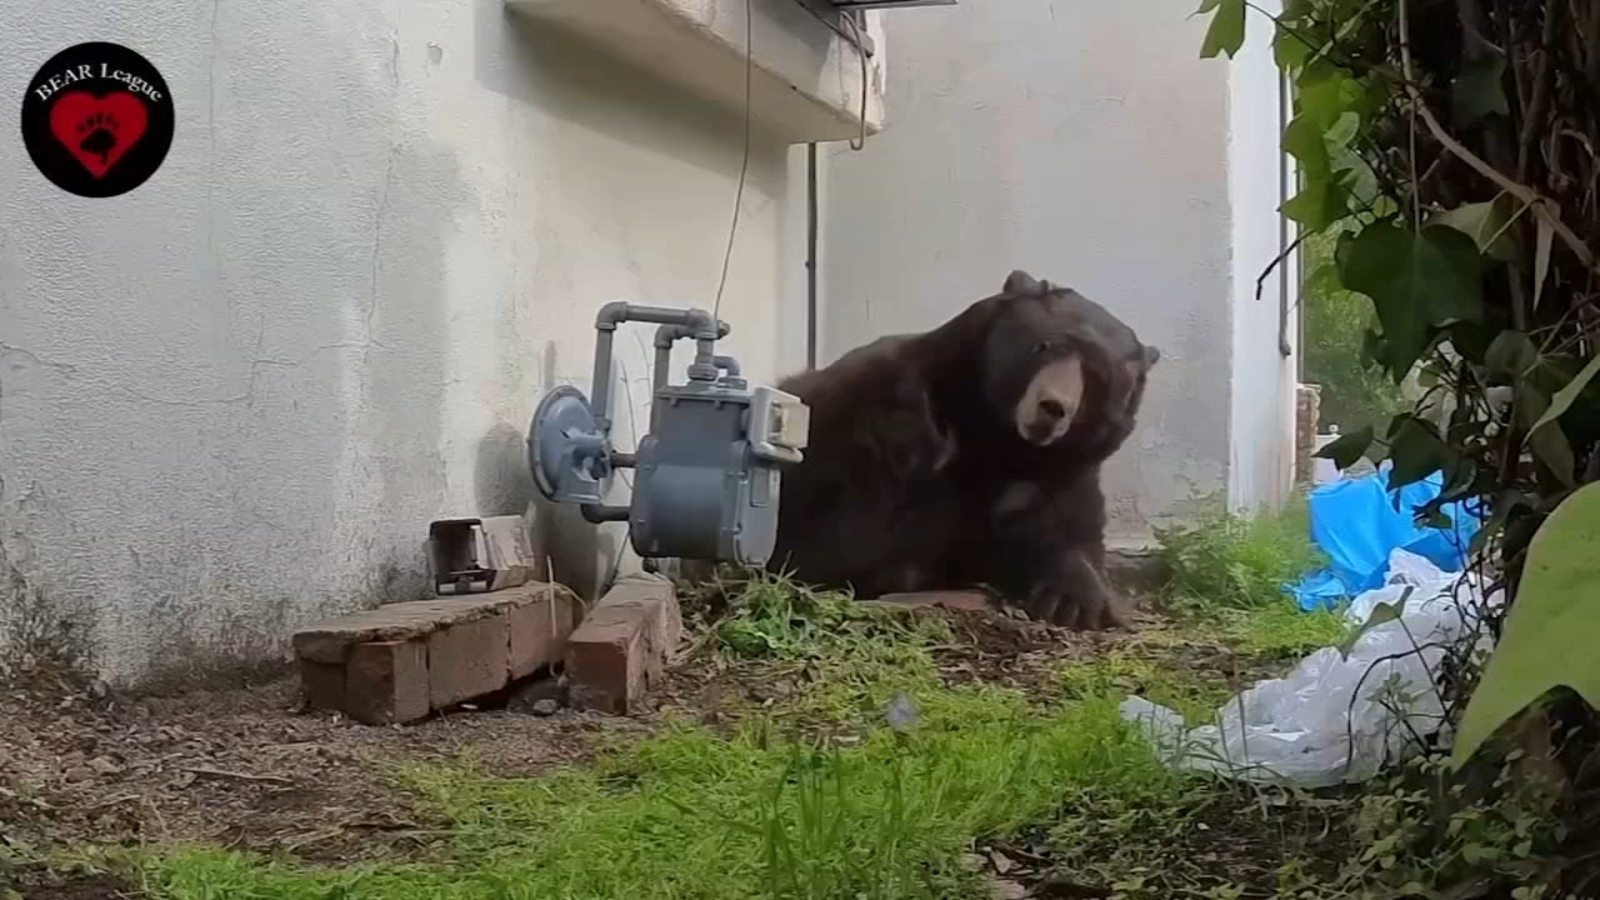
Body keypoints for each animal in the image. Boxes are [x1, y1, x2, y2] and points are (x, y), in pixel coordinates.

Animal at [770, 269, 1160, 630]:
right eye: (1045, 346)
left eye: (1097, 376)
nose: (1052, 407)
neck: (992, 434)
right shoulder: (877, 413)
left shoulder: (1062, 472)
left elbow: (1068, 531)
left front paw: (1074, 600)